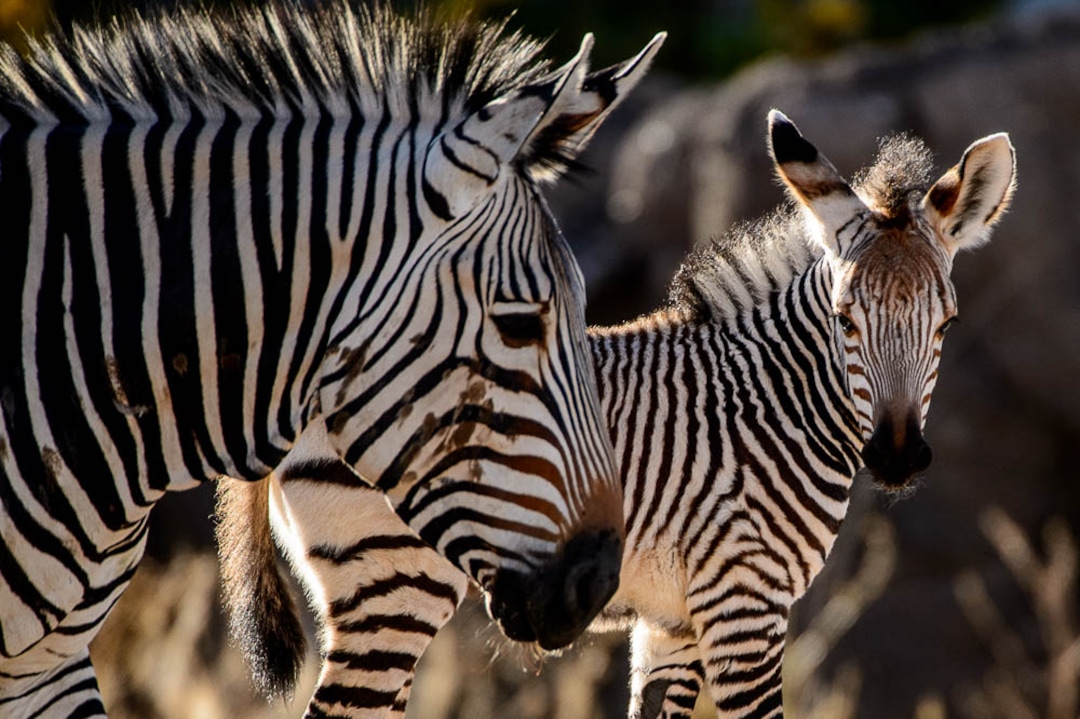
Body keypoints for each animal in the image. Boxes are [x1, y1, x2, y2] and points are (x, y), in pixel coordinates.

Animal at [218, 110, 1016, 719]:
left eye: (945, 323)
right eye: (846, 320)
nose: (898, 457)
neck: (770, 402)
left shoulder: (671, 622)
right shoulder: (744, 601)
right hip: (394, 582)